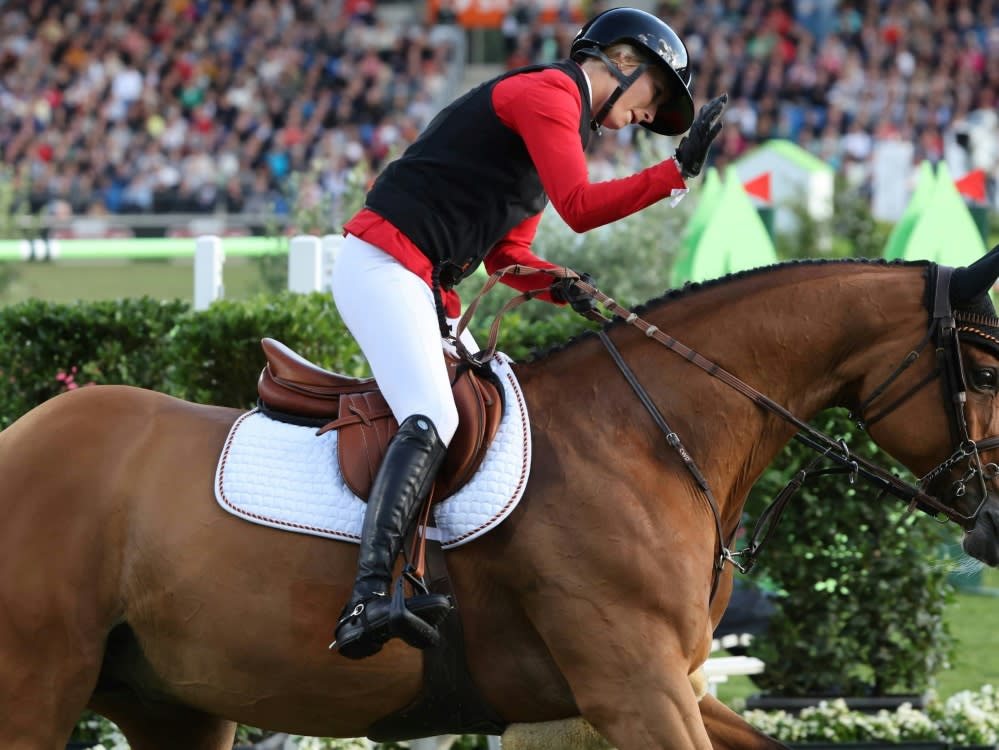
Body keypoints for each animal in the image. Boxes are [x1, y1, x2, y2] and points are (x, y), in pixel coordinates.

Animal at [5, 248, 999, 750]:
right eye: (987, 369)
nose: (990, 525)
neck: (646, 435)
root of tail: (25, 433)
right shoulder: (634, 689)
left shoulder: (664, 685)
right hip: (39, 685)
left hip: (170, 704)